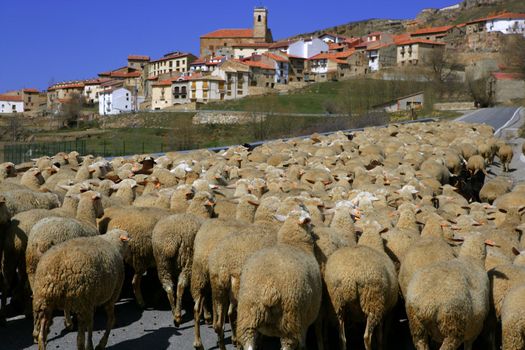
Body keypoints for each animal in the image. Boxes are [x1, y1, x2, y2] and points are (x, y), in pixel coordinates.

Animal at [151, 191, 215, 326]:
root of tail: (171, 241)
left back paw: (175, 313)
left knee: (168, 286)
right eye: (211, 198)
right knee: (180, 285)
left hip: (162, 261)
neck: (197, 213)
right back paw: (178, 316)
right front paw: (207, 316)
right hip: (188, 260)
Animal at [235, 209, 322, 348]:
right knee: (287, 344)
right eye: (308, 220)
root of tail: (269, 288)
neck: (293, 244)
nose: (315, 232)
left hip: (248, 314)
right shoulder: (303, 323)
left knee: (248, 342)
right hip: (290, 319)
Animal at [324, 221, 398, 350]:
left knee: (342, 337)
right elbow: (379, 335)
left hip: (338, 303)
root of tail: (349, 278)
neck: (371, 242)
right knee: (367, 337)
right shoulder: (383, 309)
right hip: (373, 301)